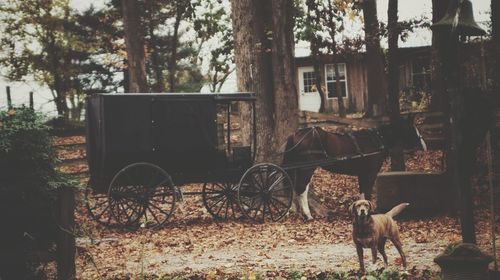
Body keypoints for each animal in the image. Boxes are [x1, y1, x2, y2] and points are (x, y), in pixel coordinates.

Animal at [282, 115, 426, 220]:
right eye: (412, 128)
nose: (424, 145)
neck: (377, 140)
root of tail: (295, 135)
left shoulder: (362, 174)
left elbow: (362, 194)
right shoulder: (370, 173)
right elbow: (367, 193)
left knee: (295, 188)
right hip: (307, 169)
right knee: (301, 189)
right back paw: (307, 215)